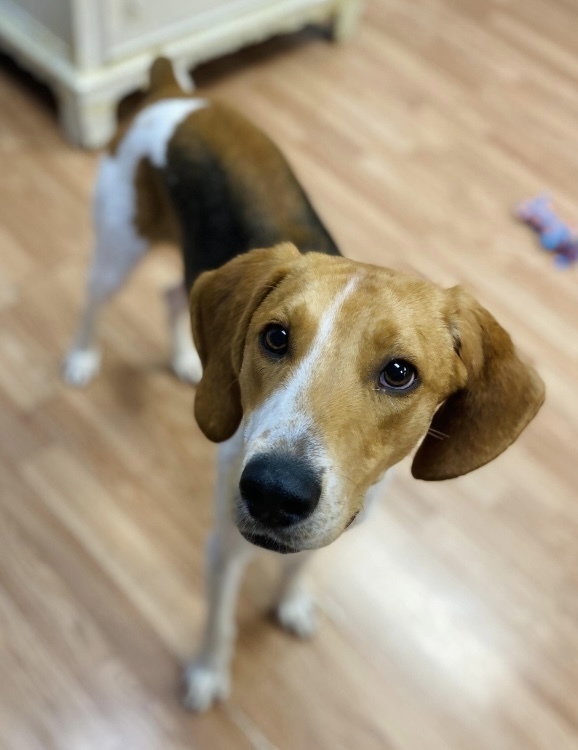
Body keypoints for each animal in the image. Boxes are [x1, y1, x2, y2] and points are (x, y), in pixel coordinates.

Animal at [64, 57, 544, 712]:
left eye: (400, 373)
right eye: (274, 337)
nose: (274, 492)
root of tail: (172, 92)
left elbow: (299, 568)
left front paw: (290, 602)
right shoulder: (224, 546)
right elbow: (218, 622)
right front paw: (208, 673)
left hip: (186, 272)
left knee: (170, 294)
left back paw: (185, 360)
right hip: (119, 247)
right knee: (93, 303)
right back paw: (82, 359)